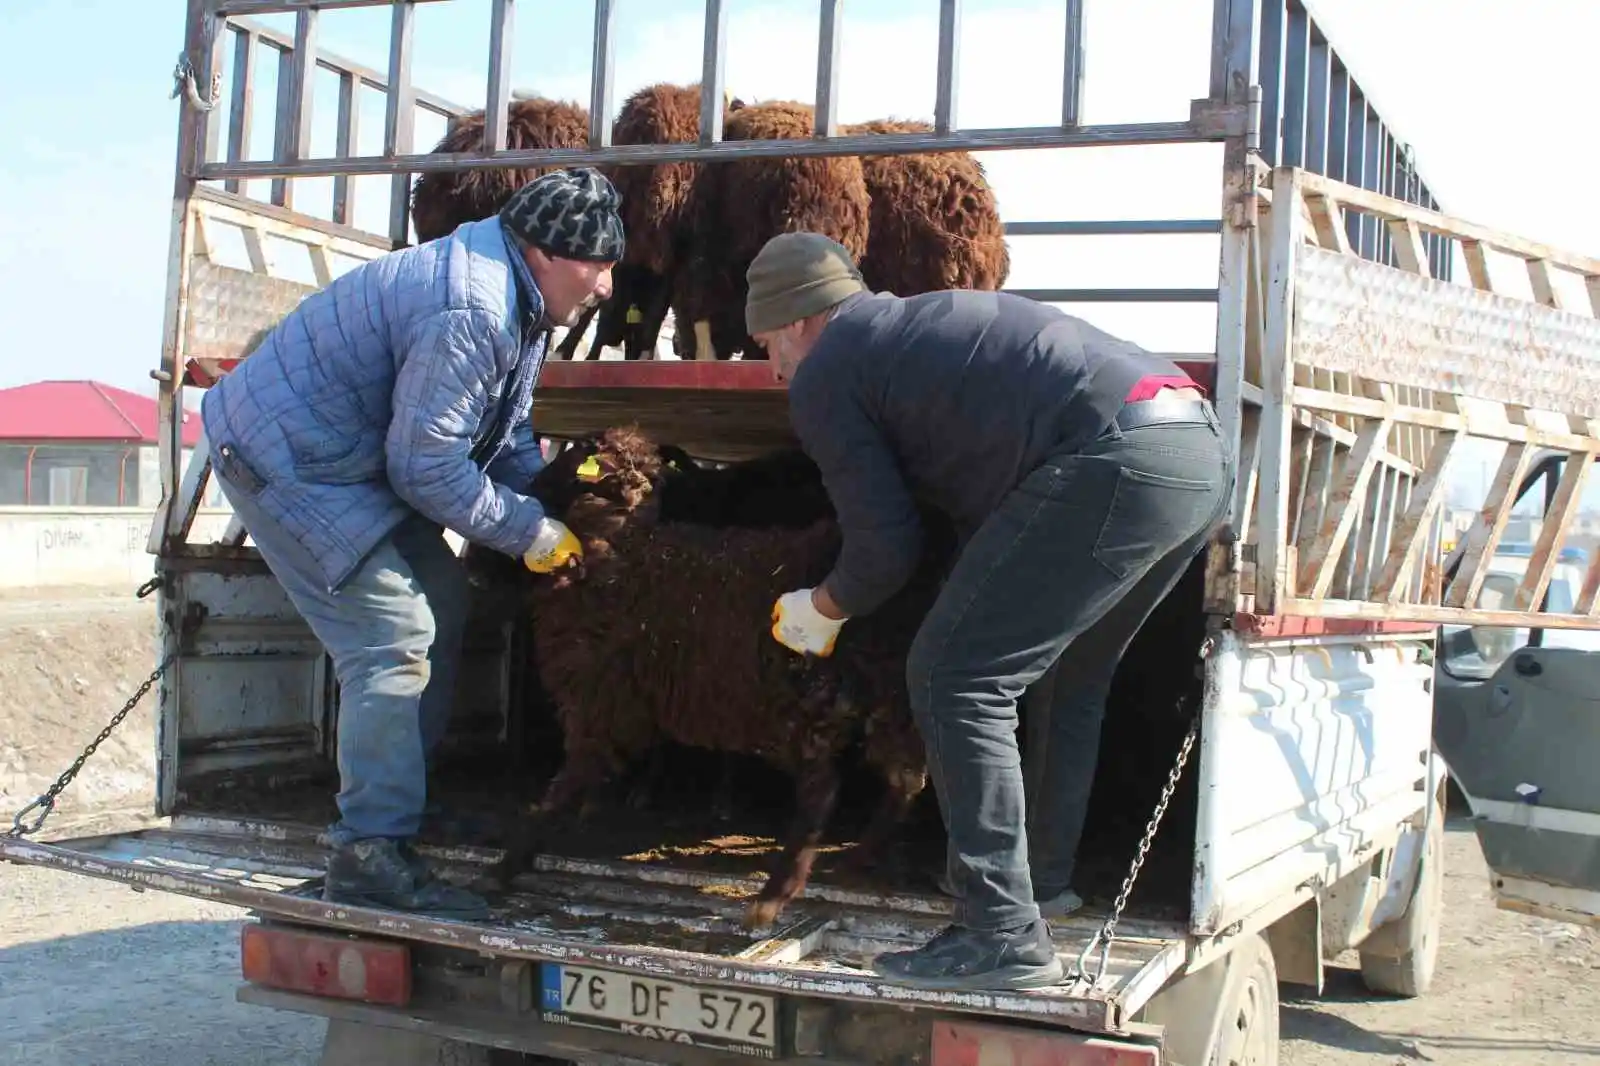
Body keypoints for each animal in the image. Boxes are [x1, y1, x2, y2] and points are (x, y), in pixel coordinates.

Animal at [512, 428, 940, 928]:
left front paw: (514, 858)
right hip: (885, 700)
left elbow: (565, 782)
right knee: (903, 780)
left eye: (575, 453)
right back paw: (854, 859)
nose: (529, 485)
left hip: (803, 703)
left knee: (827, 791)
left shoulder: (598, 699)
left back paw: (773, 895)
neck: (622, 544)